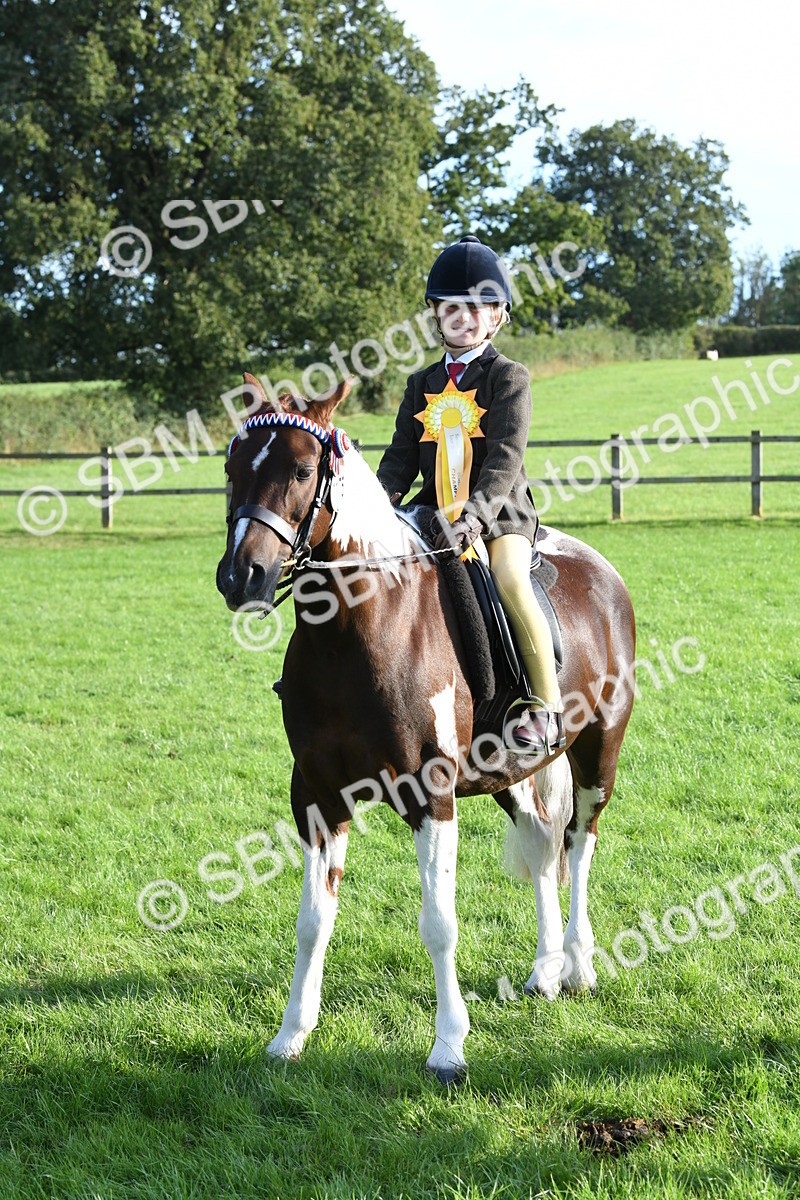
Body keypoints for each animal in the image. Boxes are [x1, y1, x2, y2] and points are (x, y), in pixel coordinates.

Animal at [216, 373, 636, 1084]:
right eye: (231, 468)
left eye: (301, 470)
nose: (240, 576)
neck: (356, 630)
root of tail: (601, 570)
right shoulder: (317, 797)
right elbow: (312, 922)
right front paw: (290, 1037)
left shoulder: (431, 794)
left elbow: (439, 923)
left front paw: (448, 1049)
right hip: (506, 775)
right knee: (542, 844)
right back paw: (547, 972)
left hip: (596, 752)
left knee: (579, 844)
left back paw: (579, 965)